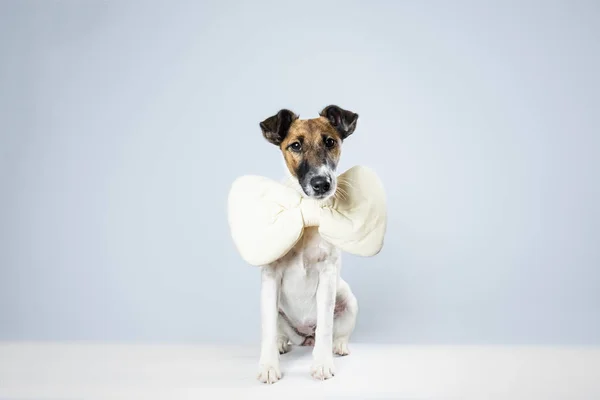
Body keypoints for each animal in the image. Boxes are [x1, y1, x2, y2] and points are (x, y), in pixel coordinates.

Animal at [255, 104, 358, 382]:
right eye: (295, 146)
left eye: (330, 142)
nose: (322, 184)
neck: (306, 214)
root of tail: (304, 336)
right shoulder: (271, 277)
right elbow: (267, 330)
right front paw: (268, 366)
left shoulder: (327, 274)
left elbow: (326, 326)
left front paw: (322, 363)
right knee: (279, 331)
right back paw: (282, 343)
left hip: (348, 299)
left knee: (336, 331)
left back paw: (339, 346)